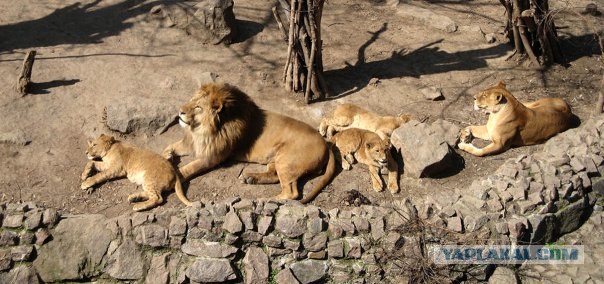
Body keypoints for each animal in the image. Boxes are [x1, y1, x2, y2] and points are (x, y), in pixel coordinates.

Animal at [163, 83, 338, 203]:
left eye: (198, 107)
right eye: (191, 101)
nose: (180, 111)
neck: (203, 130)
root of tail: (326, 144)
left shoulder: (212, 157)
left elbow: (186, 169)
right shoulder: (195, 143)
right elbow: (171, 146)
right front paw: (167, 155)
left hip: (286, 160)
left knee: (291, 193)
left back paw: (267, 200)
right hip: (276, 160)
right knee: (275, 177)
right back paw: (250, 178)